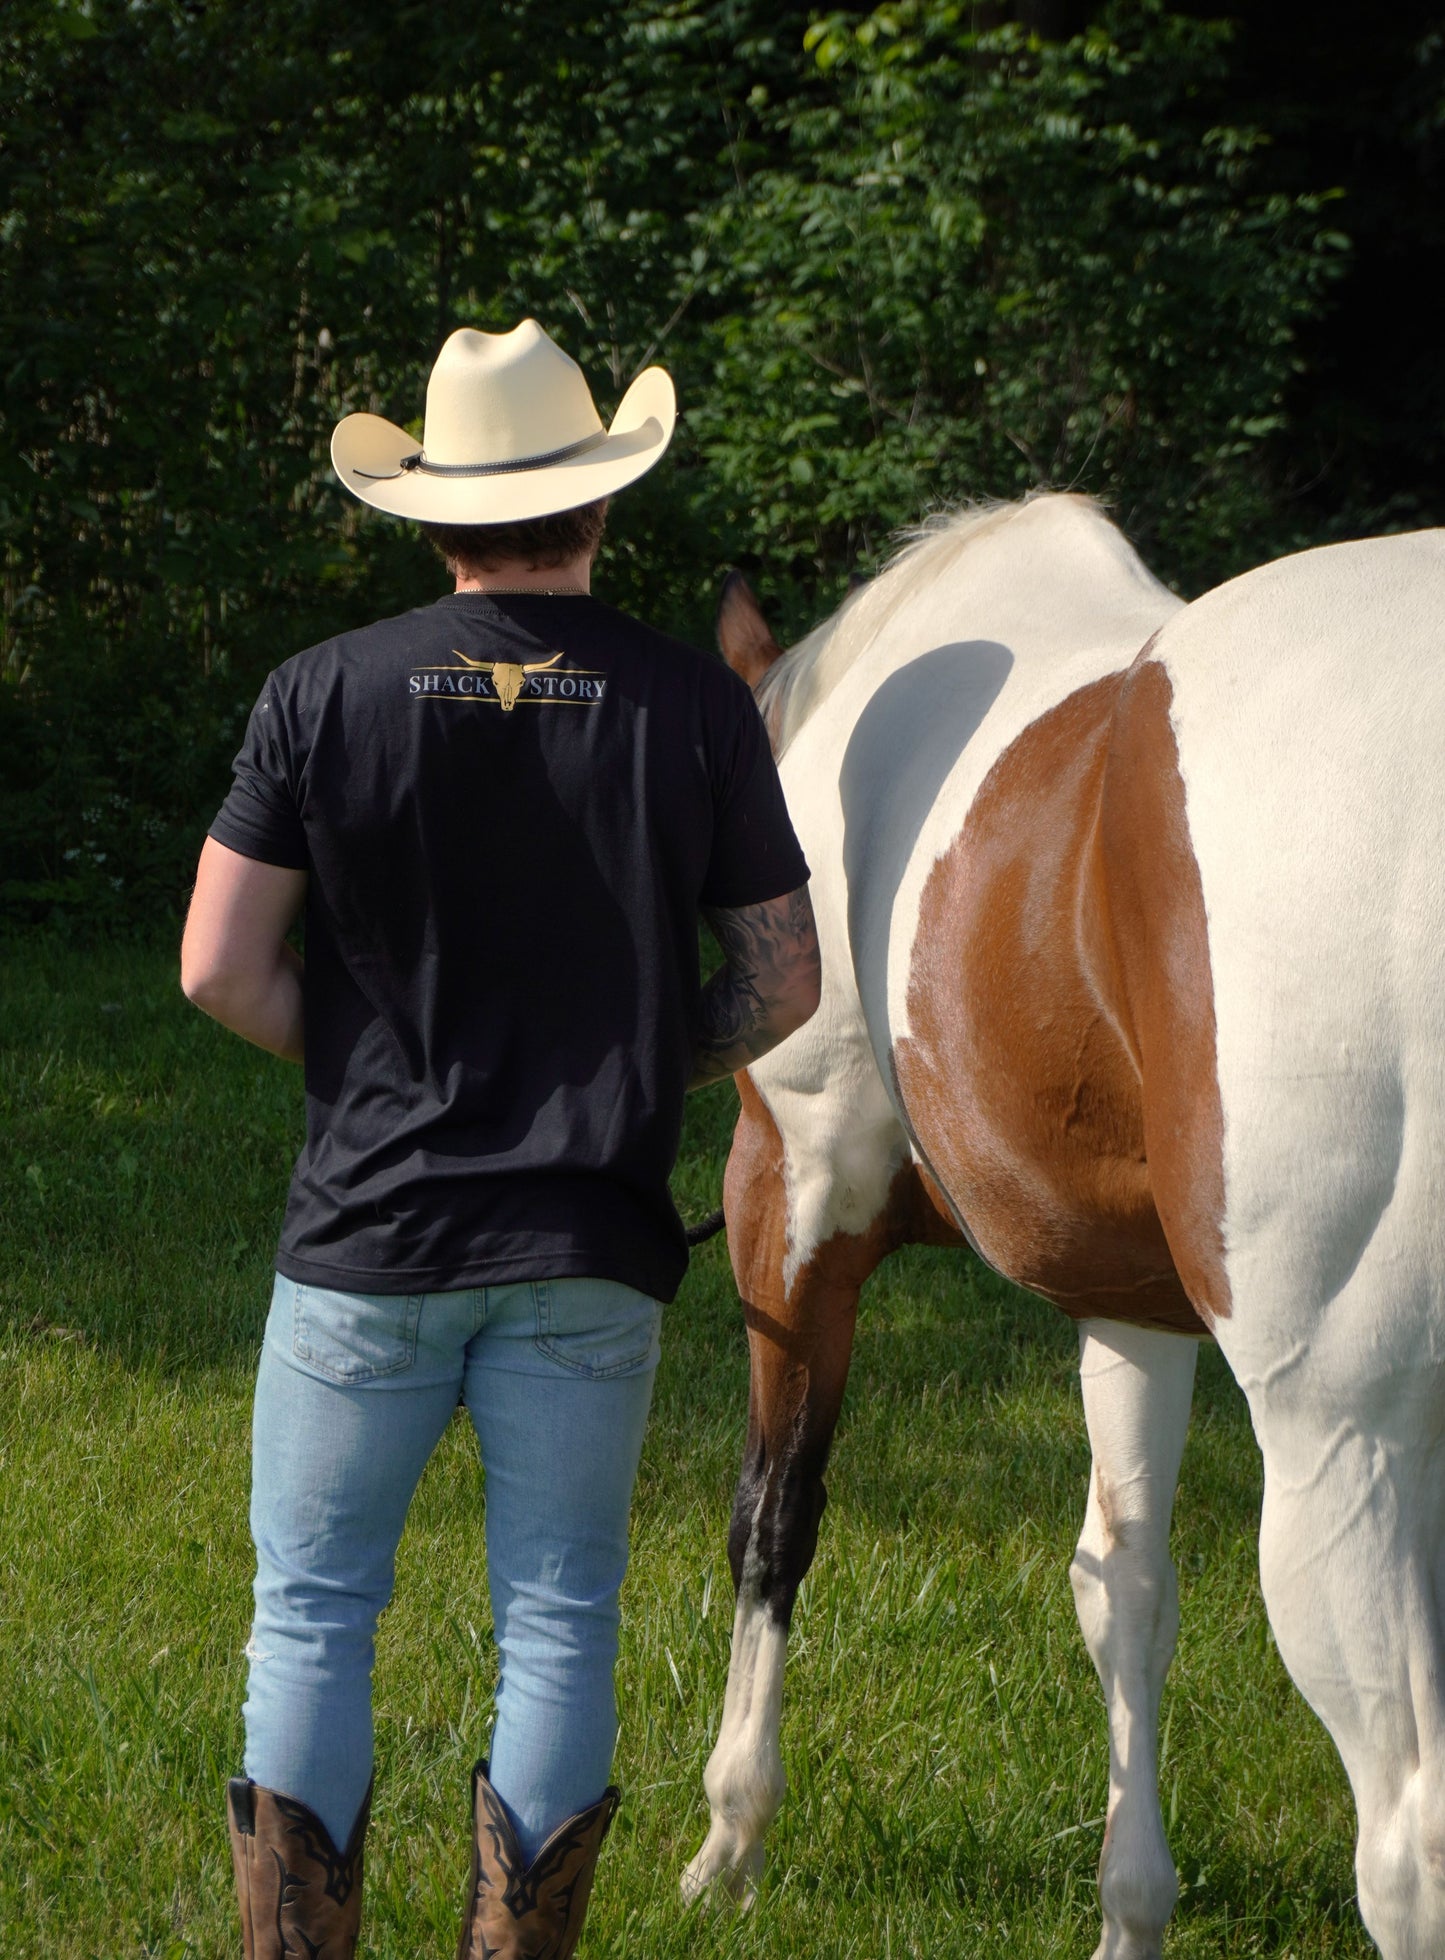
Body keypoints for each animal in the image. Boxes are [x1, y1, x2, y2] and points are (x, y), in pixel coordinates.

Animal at [682, 493, 1443, 1960]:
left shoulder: (789, 1195)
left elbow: (773, 1512)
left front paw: (729, 1831)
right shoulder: (1128, 1300)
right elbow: (1123, 1586)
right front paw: (1129, 1909)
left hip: (1344, 1440)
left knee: (1409, 1844)